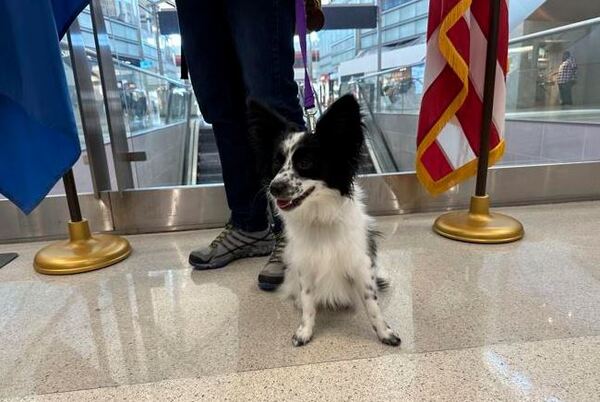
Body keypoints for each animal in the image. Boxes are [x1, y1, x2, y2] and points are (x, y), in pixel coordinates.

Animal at [246, 93, 400, 346]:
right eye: (276, 163)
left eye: (305, 163)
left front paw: (384, 332)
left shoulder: (360, 263)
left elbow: (372, 304)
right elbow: (309, 302)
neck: (319, 215)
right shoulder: (305, 266)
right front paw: (305, 331)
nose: (274, 188)